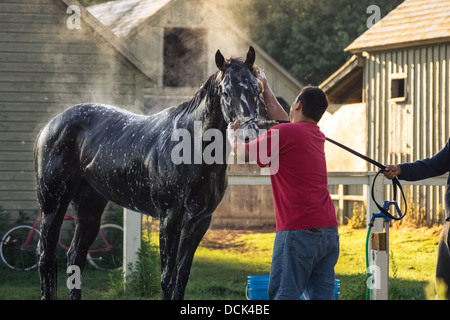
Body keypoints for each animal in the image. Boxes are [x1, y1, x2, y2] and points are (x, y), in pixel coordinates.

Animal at [35, 46, 264, 298]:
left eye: (256, 89)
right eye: (225, 91)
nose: (248, 136)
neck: (192, 147)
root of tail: (50, 125)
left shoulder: (199, 221)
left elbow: (182, 276)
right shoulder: (170, 217)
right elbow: (167, 278)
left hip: (89, 208)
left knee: (75, 258)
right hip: (53, 205)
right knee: (46, 258)